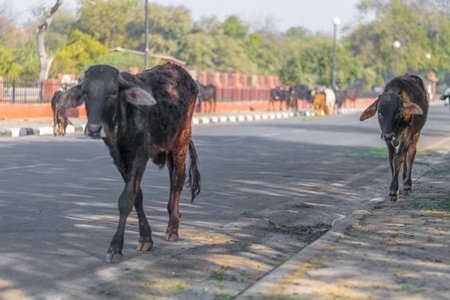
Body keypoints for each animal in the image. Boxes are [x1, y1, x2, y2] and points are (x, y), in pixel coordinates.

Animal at [358, 74, 428, 202]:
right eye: (379, 111)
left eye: (398, 110)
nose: (388, 135)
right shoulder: (387, 138)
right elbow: (391, 158)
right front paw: (396, 189)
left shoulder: (407, 135)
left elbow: (398, 159)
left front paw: (394, 191)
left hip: (416, 133)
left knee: (410, 154)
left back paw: (407, 185)